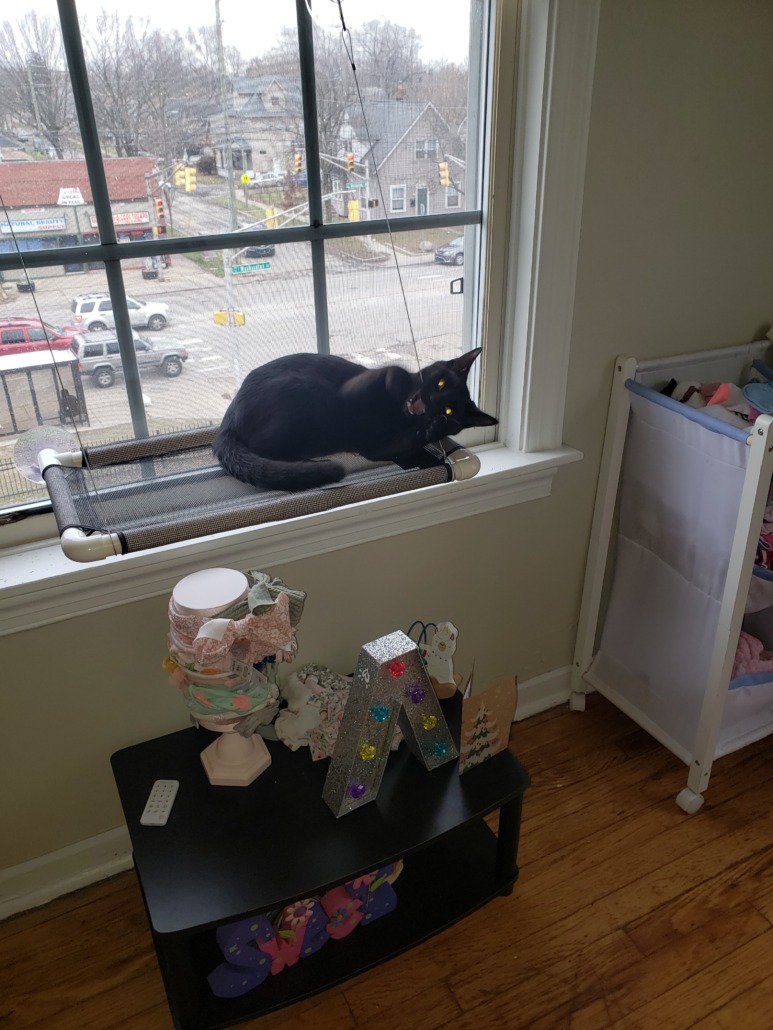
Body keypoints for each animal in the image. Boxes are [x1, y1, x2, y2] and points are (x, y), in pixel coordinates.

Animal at [212, 346, 497, 492]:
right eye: (440, 383)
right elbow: (393, 370)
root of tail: (226, 424)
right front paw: (401, 381)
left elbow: (410, 441)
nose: (429, 405)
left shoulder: (380, 447)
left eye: (449, 411)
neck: (401, 416)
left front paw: (434, 428)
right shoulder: (361, 382)